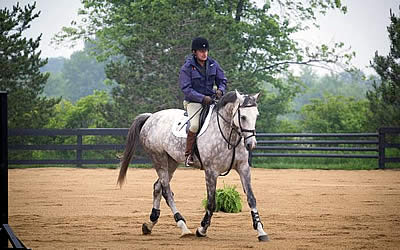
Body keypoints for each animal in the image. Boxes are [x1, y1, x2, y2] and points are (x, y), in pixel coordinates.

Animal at [117, 90, 270, 242]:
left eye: (256, 115)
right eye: (243, 117)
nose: (251, 144)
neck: (228, 134)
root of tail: (151, 117)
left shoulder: (243, 168)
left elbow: (251, 198)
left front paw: (261, 231)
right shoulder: (211, 171)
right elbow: (211, 203)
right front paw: (201, 230)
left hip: (171, 162)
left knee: (157, 187)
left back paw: (150, 224)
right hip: (159, 159)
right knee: (167, 190)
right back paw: (183, 226)